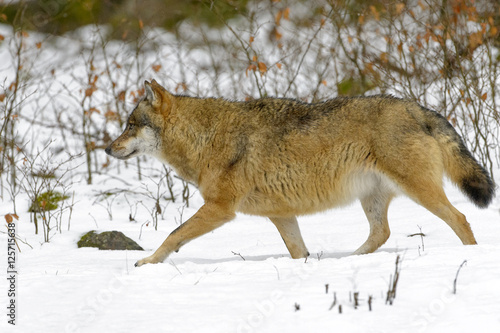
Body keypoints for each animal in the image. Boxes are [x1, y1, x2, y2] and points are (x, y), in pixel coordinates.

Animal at [103, 79, 494, 266]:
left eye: (130, 125)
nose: (107, 149)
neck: (205, 138)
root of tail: (417, 108)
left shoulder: (220, 209)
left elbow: (172, 235)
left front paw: (147, 262)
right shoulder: (282, 215)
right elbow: (298, 252)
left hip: (420, 191)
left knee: (460, 219)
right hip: (372, 198)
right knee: (381, 233)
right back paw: (346, 260)